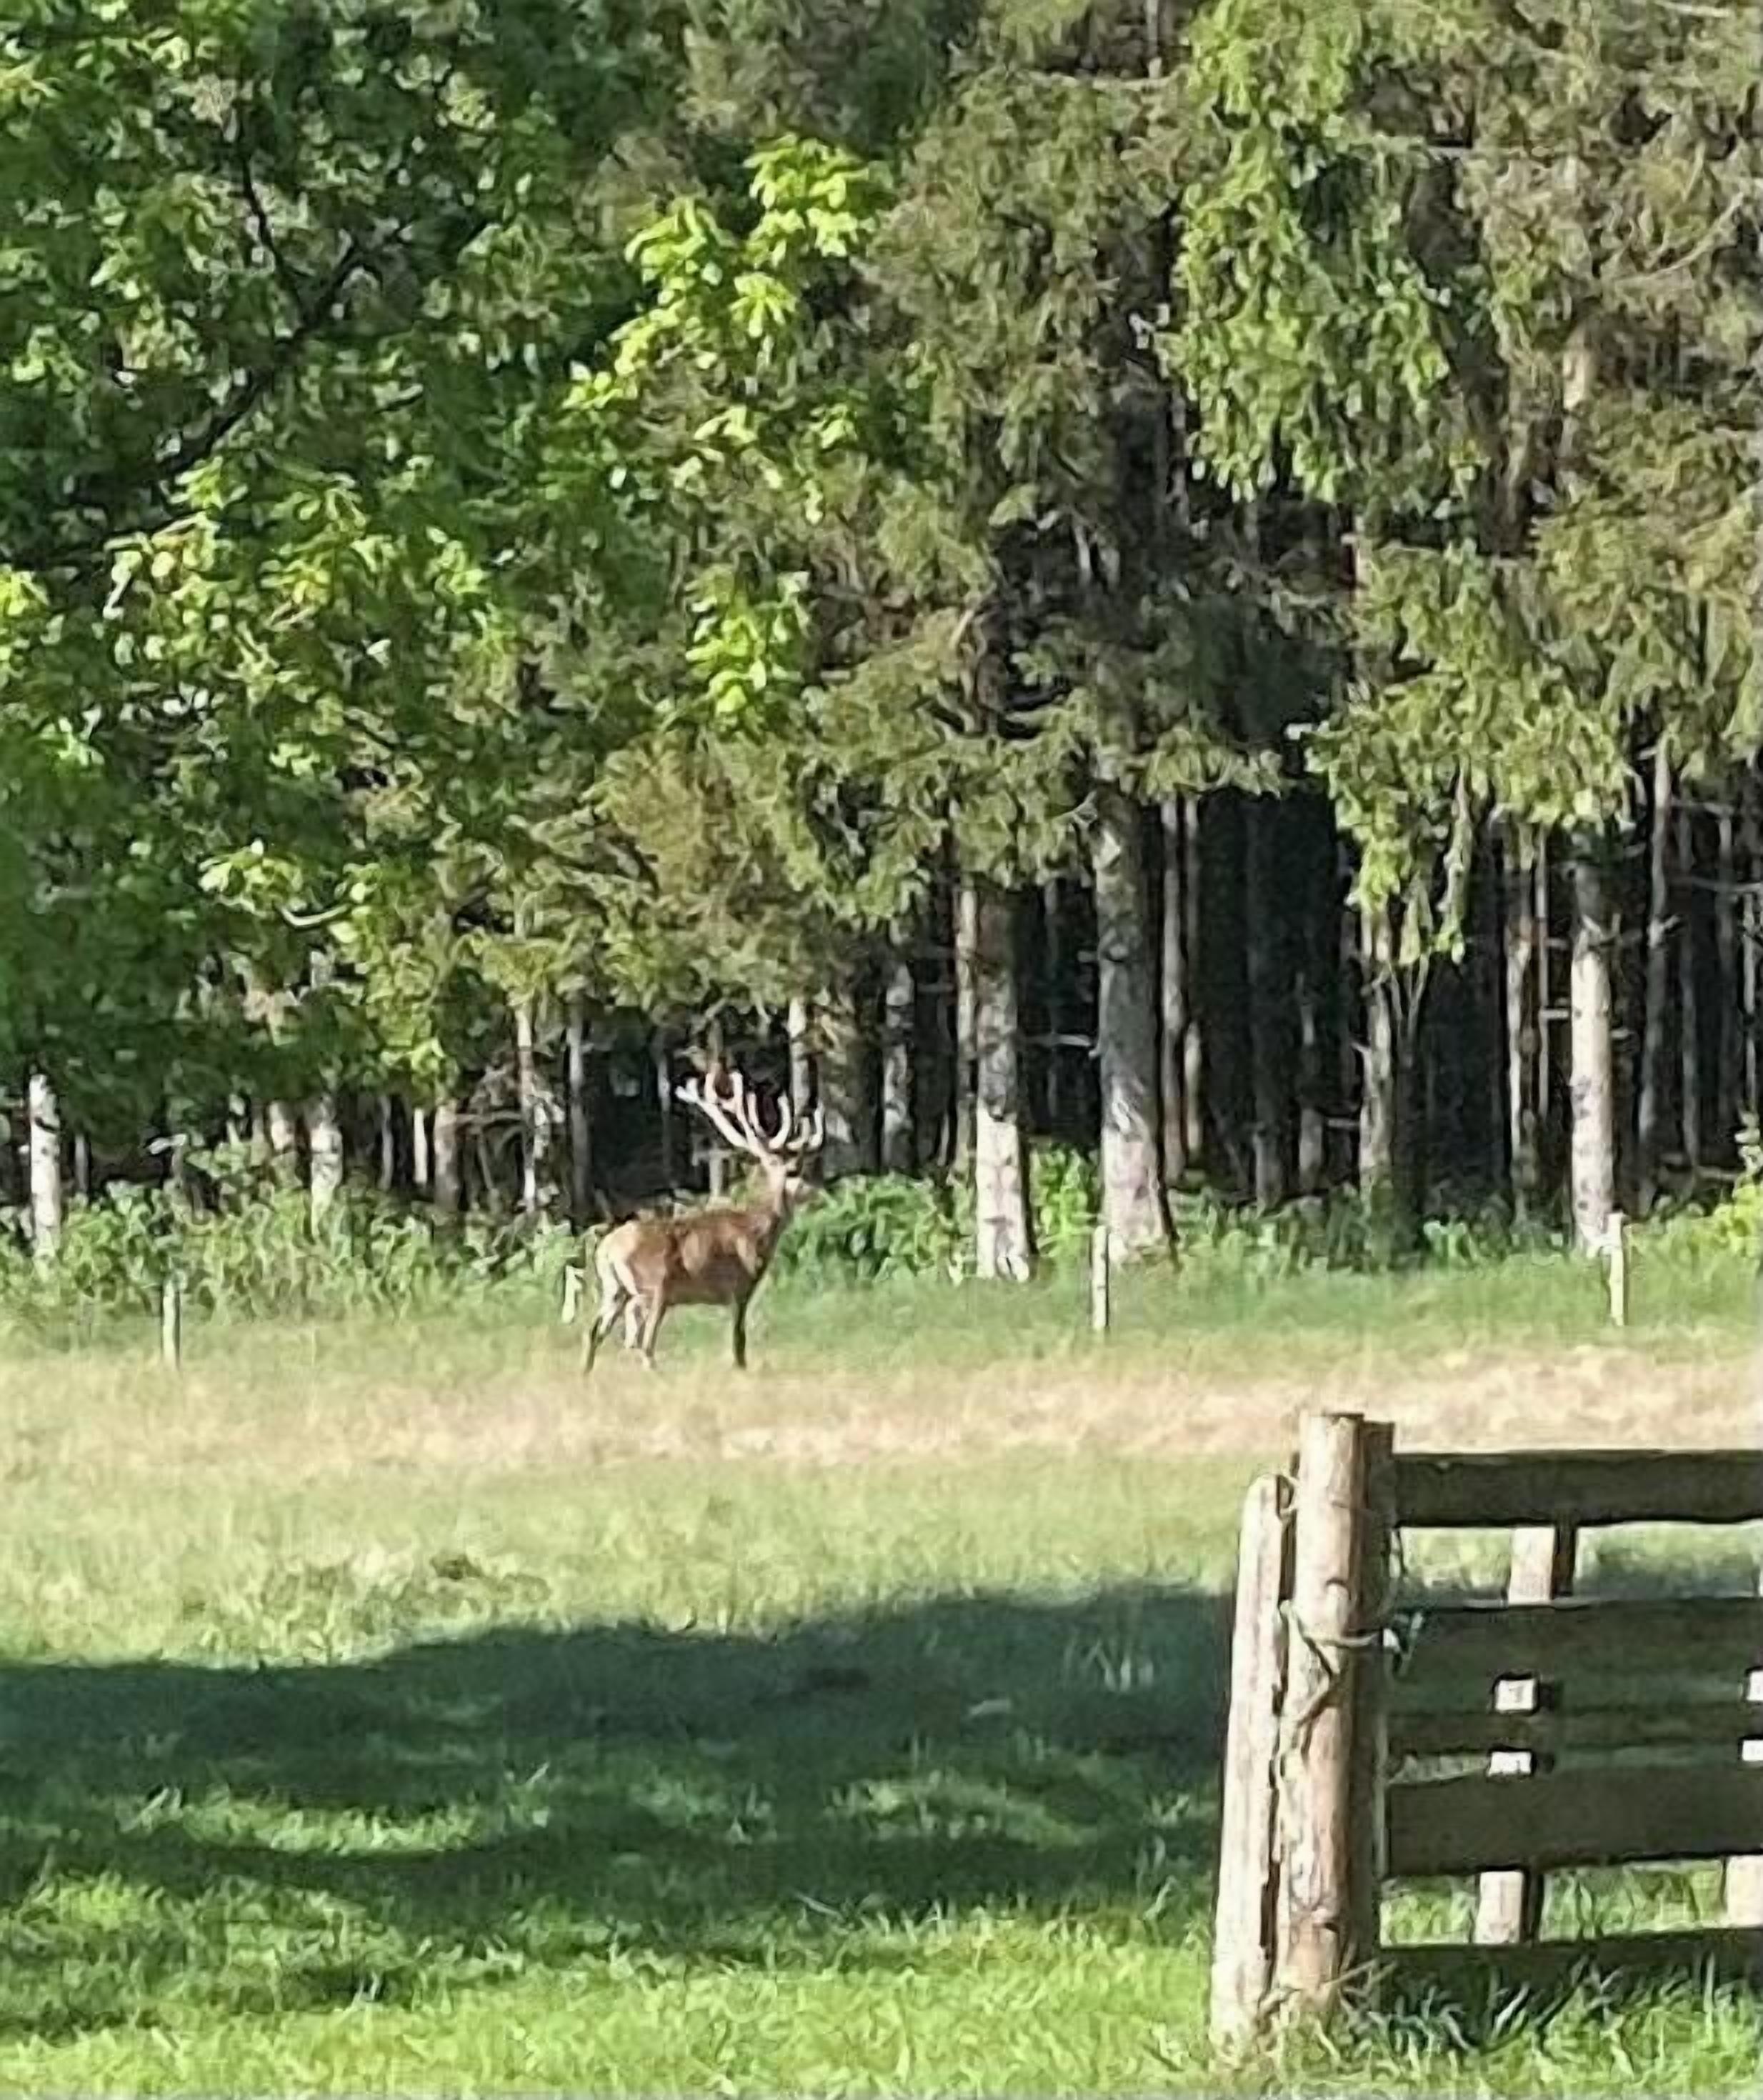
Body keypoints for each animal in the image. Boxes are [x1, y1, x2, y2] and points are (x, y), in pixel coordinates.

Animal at [580, 1064, 825, 1376]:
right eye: (795, 1172)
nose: (818, 1193)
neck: (757, 1231)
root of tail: (606, 1250)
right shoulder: (739, 1286)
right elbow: (738, 1342)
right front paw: (740, 1370)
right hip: (653, 1288)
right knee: (642, 1341)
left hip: (614, 1289)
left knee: (596, 1332)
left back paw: (586, 1376)